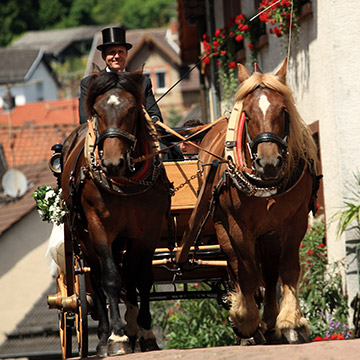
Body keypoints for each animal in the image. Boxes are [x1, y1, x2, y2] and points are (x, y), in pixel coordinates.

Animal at [60, 71, 172, 358]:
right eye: (96, 112)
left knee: (129, 275)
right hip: (84, 237)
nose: (112, 163)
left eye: (132, 110)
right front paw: (117, 336)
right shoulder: (99, 227)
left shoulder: (148, 231)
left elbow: (141, 278)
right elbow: (110, 278)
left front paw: (144, 333)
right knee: (96, 278)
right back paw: (103, 337)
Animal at [180, 59, 320, 346]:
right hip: (223, 227)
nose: (269, 162)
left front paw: (290, 323)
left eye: (283, 110)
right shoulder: (237, 226)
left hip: (269, 232)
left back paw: (269, 322)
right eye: (247, 113)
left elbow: (287, 269)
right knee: (236, 266)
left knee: (269, 271)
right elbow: (246, 272)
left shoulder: (295, 222)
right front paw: (246, 321)